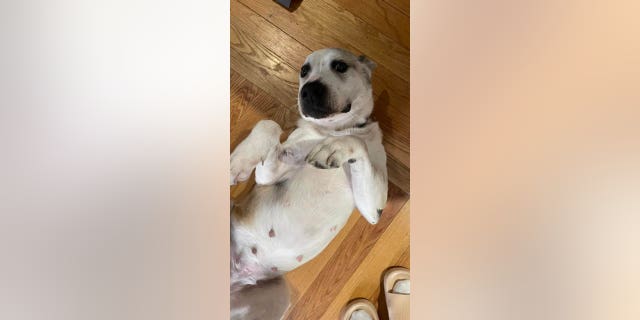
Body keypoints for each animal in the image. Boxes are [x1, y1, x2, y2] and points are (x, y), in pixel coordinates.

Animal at [231, 48, 390, 320]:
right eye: (304, 71)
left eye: (340, 66)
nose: (308, 90)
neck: (334, 129)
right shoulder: (268, 175)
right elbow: (270, 125)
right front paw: (240, 160)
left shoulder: (373, 209)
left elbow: (355, 143)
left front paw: (333, 149)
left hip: (278, 295)